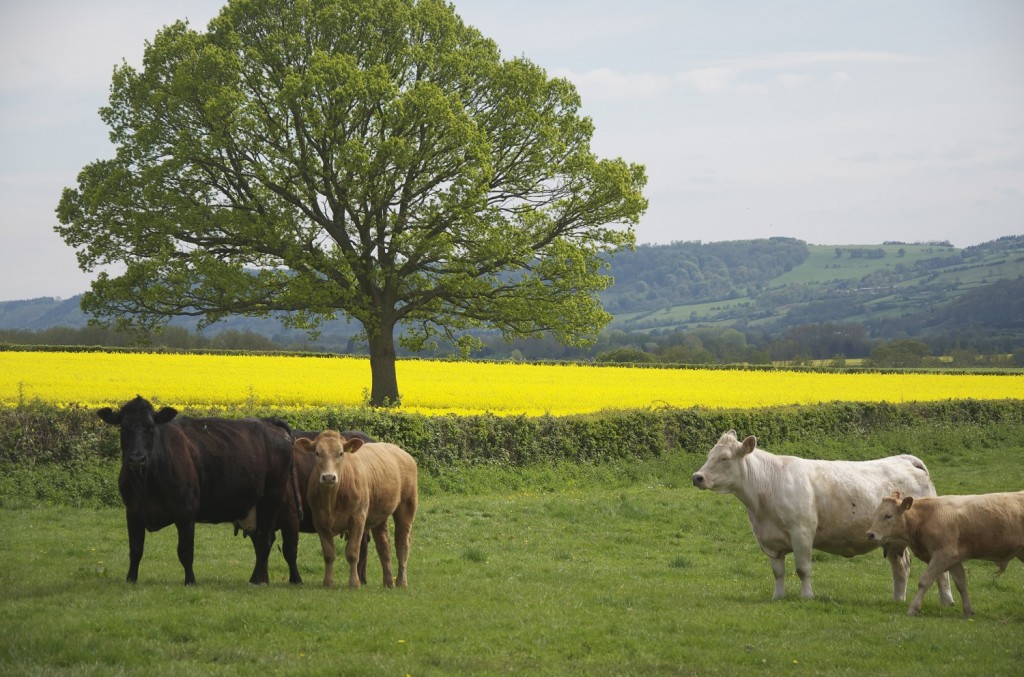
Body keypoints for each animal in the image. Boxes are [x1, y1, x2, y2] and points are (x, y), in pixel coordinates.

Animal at [97, 395, 296, 585]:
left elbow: (185, 551)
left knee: (264, 540)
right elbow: (136, 549)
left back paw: (256, 580)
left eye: (151, 428)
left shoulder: (186, 511)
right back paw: (260, 578)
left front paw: (190, 581)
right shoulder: (132, 512)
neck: (146, 484)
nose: (137, 459)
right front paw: (131, 579)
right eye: (124, 429)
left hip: (271, 497)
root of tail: (269, 421)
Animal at [296, 432, 419, 585]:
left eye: (341, 453)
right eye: (317, 453)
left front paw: (354, 583)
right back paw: (388, 582)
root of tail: (400, 451)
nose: (329, 477)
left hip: (407, 505)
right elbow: (328, 553)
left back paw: (401, 582)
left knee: (402, 544)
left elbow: (353, 552)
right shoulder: (319, 521)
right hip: (380, 514)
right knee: (383, 546)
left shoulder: (358, 518)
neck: (331, 499)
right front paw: (328, 583)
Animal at [692, 430, 954, 598]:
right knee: (900, 568)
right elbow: (778, 571)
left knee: (939, 570)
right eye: (709, 456)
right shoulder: (769, 539)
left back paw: (947, 601)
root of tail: (906, 459)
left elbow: (803, 569)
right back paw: (898, 600)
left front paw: (807, 596)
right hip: (893, 541)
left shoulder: (802, 533)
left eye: (724, 458)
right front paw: (778, 596)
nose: (697, 477)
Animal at [868, 487, 1024, 614]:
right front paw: (968, 611)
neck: (926, 517)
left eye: (888, 515)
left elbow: (924, 581)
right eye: (875, 513)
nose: (870, 534)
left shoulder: (943, 555)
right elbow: (961, 584)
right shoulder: (954, 559)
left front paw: (913, 608)